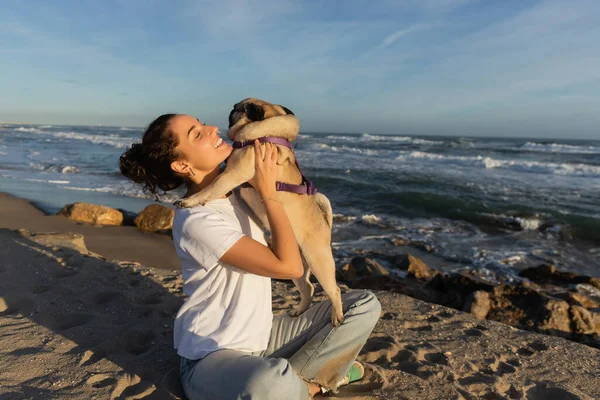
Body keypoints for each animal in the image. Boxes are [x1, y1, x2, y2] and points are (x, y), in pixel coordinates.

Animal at [173, 98, 342, 326]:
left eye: (236, 108)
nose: (230, 109)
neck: (264, 132)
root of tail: (323, 221)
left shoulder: (233, 174)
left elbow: (211, 188)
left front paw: (189, 200)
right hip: (297, 266)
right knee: (308, 288)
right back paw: (299, 310)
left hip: (318, 260)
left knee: (334, 289)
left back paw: (337, 316)